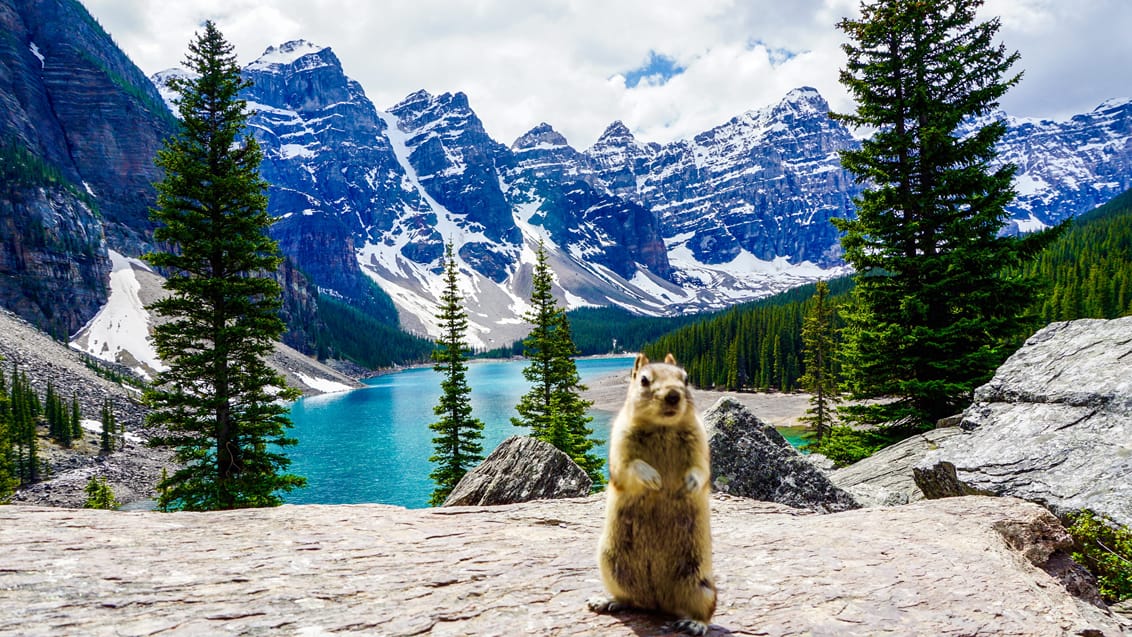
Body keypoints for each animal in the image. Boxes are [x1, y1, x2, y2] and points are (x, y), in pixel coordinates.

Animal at [584, 350, 715, 633]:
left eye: (686, 378)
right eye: (644, 380)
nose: (673, 395)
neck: (662, 427)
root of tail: (657, 603)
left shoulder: (700, 442)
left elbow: (701, 469)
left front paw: (687, 485)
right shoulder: (620, 442)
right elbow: (630, 466)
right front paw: (654, 479)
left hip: (701, 584)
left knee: (705, 610)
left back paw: (694, 624)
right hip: (609, 564)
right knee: (629, 599)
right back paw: (606, 601)